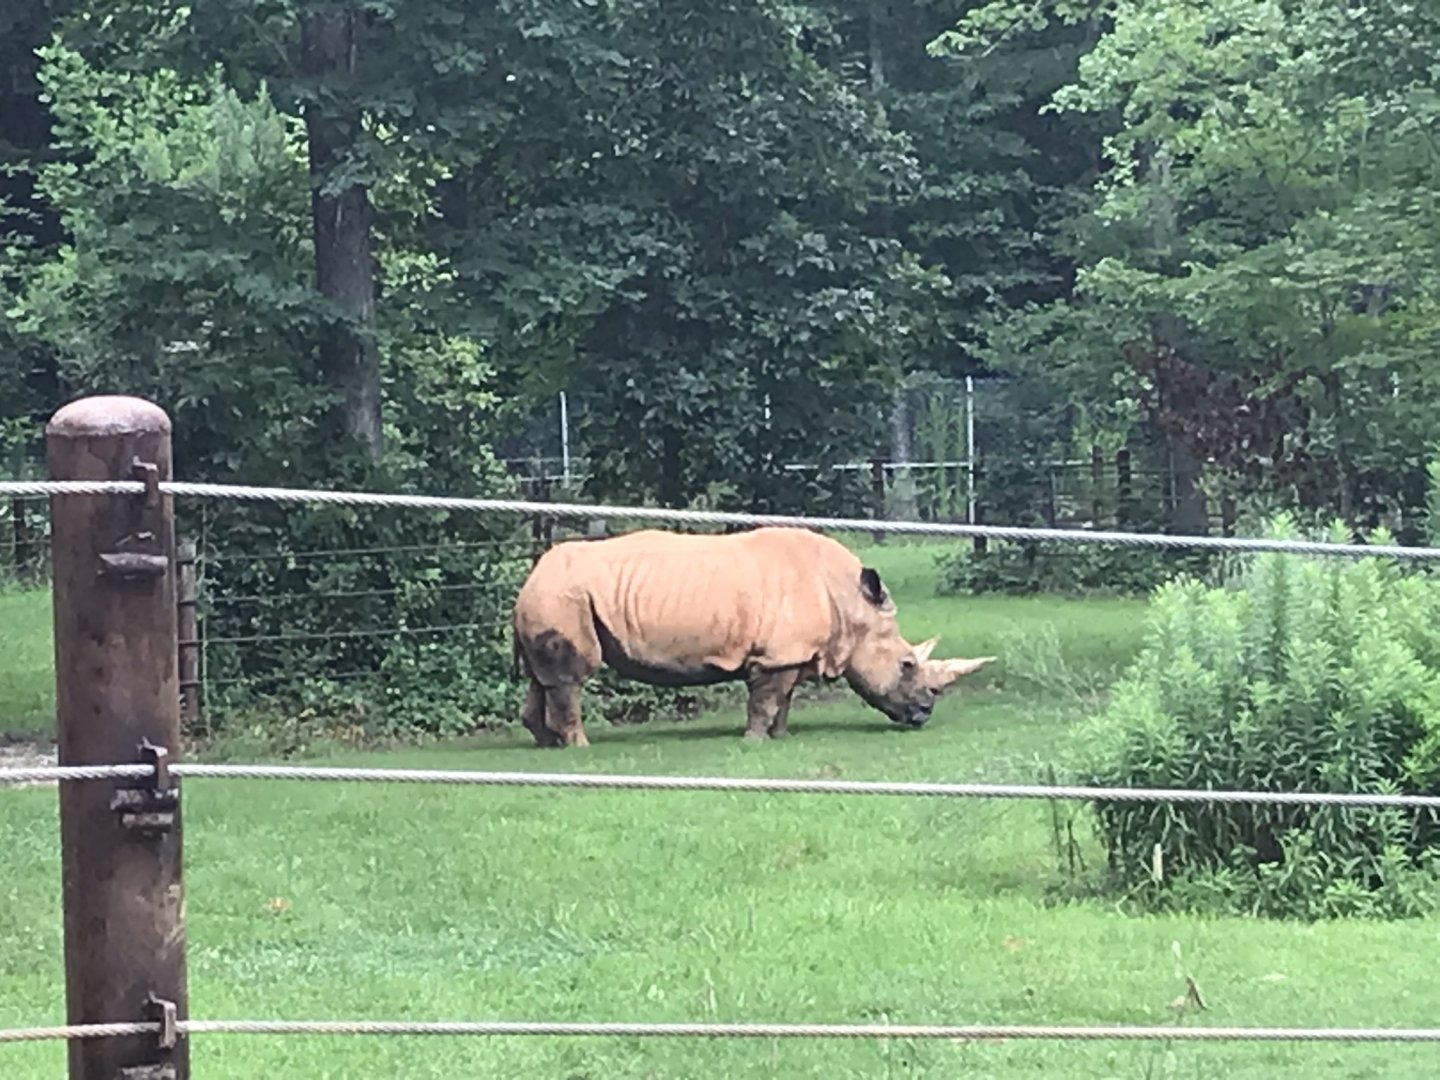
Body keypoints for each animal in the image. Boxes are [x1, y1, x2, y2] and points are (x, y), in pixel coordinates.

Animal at [510, 525, 995, 747]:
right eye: (907, 665)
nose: (924, 714)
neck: (852, 607)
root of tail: (530, 577)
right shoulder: (776, 655)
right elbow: (765, 699)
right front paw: (755, 741)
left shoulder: (794, 652)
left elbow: (785, 698)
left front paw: (780, 738)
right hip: (564, 595)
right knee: (572, 676)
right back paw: (579, 746)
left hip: (551, 596)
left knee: (541, 678)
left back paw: (547, 744)